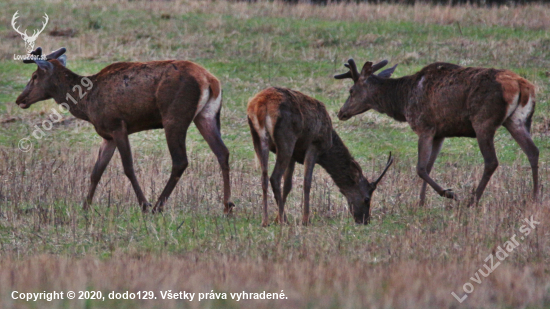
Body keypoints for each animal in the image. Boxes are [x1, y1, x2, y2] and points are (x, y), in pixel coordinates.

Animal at [14, 47, 235, 213]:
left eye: (34, 76)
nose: (20, 99)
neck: (86, 104)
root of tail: (210, 81)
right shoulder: (107, 135)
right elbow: (96, 171)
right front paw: (85, 207)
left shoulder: (117, 125)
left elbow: (128, 167)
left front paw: (144, 205)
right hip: (206, 115)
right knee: (222, 152)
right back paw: (227, 206)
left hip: (175, 116)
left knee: (180, 161)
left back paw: (157, 206)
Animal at [248, 86, 394, 226]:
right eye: (367, 198)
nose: (365, 220)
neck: (328, 146)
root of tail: (261, 104)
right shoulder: (314, 145)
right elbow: (307, 182)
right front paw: (305, 220)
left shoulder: (294, 155)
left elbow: (288, 185)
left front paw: (278, 218)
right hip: (286, 138)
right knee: (274, 177)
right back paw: (283, 221)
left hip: (258, 138)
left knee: (264, 177)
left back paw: (266, 221)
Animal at [336, 59, 540, 206]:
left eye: (351, 90)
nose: (340, 112)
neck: (403, 102)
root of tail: (522, 85)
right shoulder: (440, 133)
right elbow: (428, 167)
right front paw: (421, 203)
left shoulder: (424, 127)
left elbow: (420, 168)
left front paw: (450, 194)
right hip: (517, 121)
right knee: (533, 151)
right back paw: (535, 197)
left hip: (484, 121)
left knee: (491, 161)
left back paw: (471, 201)